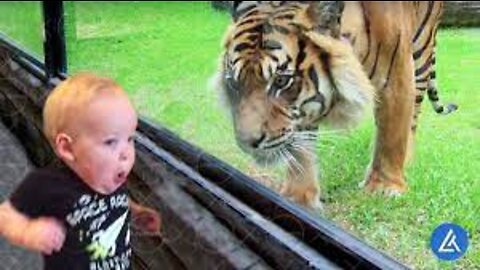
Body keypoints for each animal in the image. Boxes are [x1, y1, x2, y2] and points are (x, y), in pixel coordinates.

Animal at [214, 1, 458, 210]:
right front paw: (299, 195)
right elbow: (302, 145)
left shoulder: (397, 76)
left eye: (281, 81)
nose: (246, 143)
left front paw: (384, 188)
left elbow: (393, 133)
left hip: (422, 54)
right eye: (233, 82)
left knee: (413, 119)